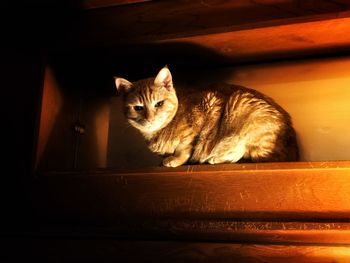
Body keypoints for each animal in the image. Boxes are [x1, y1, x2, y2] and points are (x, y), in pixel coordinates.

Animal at [114, 67, 298, 168]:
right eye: (138, 108)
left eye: (159, 104)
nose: (150, 119)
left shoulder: (204, 110)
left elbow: (184, 147)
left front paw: (175, 159)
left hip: (241, 108)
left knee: (242, 150)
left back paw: (215, 157)